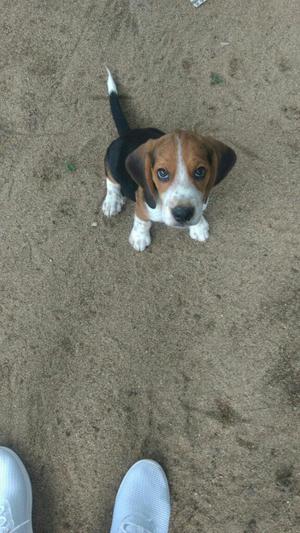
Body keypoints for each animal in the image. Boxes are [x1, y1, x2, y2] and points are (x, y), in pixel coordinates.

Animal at [103, 69, 237, 251]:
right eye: (162, 173)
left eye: (200, 171)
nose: (183, 214)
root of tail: (128, 133)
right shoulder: (143, 202)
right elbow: (142, 219)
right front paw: (139, 237)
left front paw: (198, 226)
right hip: (111, 157)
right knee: (111, 180)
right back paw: (111, 201)